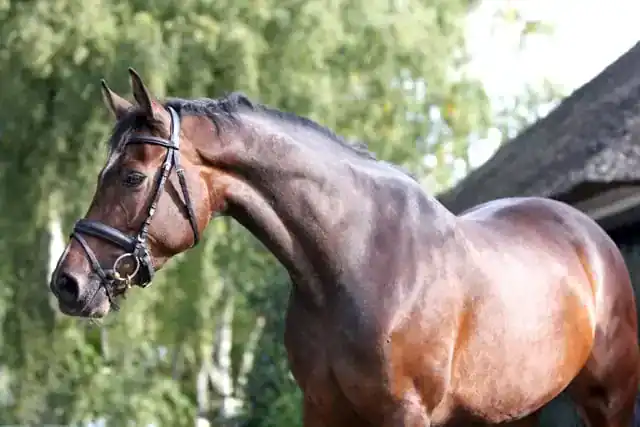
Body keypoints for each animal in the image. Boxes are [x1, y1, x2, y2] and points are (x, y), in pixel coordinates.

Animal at [50, 68, 639, 427]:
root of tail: (589, 236)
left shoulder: (405, 414)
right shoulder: (323, 408)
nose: (67, 283)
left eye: (131, 177)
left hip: (607, 399)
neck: (355, 265)